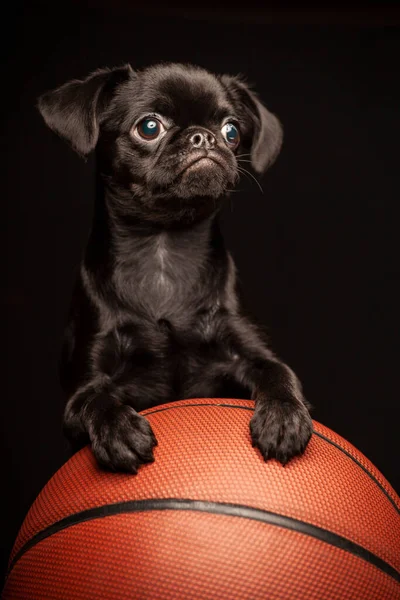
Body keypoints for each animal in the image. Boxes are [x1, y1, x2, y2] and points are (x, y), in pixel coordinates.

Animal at [38, 62, 312, 474]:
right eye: (149, 127)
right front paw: (119, 430)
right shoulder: (81, 390)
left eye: (231, 131)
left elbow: (279, 372)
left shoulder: (246, 353)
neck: (163, 245)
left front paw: (284, 417)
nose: (204, 137)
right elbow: (94, 399)